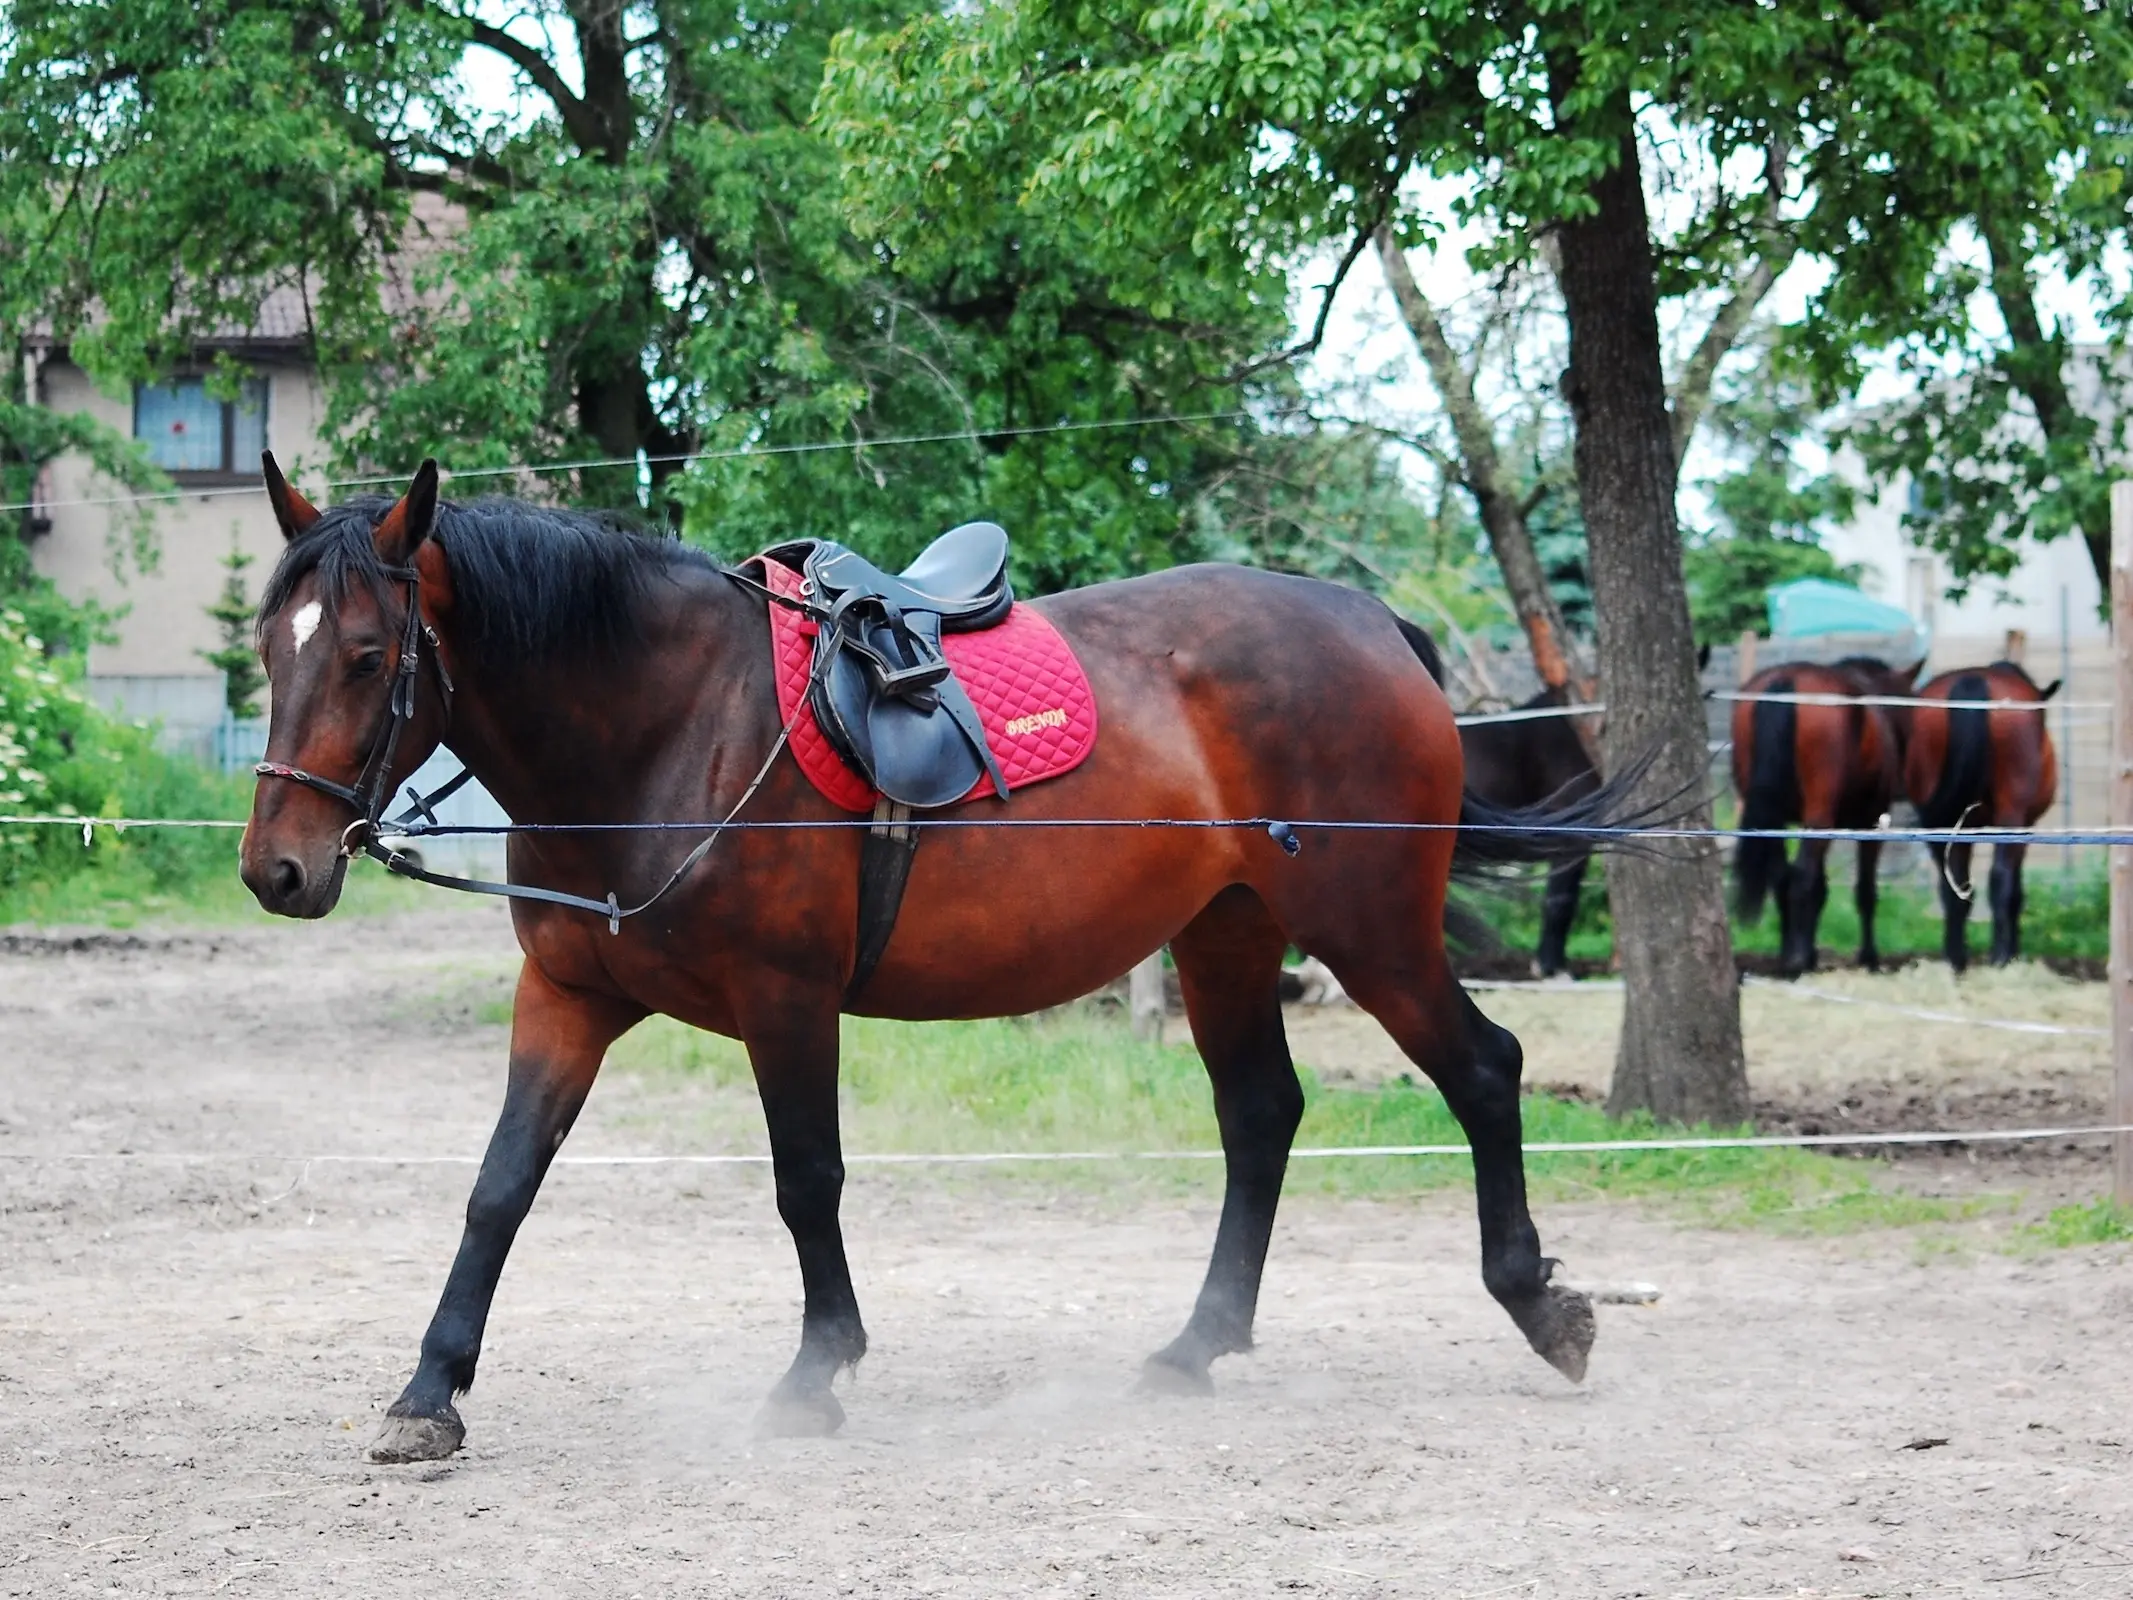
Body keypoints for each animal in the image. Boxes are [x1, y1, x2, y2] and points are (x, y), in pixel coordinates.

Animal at [233, 460, 1638, 1467]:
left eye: (367, 656)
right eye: (267, 647)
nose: (276, 870)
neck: (668, 726)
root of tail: (1373, 624)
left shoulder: (787, 1002)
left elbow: (807, 1182)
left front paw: (816, 1373)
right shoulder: (570, 998)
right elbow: (498, 1188)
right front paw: (428, 1391)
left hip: (1367, 927)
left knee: (1483, 1069)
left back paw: (1540, 1306)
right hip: (1228, 933)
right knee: (1262, 1116)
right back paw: (1196, 1346)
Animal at [1731, 652, 1919, 977]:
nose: (1902, 788)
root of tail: (1786, 680)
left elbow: (1820, 889)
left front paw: (1810, 952)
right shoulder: (1869, 823)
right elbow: (1864, 891)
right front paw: (1869, 957)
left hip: (1773, 818)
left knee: (1782, 877)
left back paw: (1789, 955)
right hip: (1821, 816)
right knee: (1801, 877)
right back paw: (1795, 960)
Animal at [1911, 661, 2056, 964]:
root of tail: (1974, 679)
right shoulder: (2024, 825)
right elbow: (2014, 888)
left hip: (1940, 820)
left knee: (1952, 885)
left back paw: (1956, 959)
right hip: (2011, 815)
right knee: (2000, 878)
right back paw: (1999, 958)